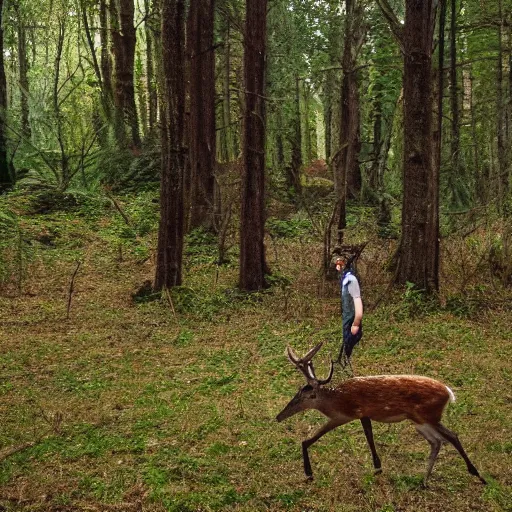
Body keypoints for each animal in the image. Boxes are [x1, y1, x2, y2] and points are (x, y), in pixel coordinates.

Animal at [276, 342, 488, 486]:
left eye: (306, 396)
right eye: (296, 392)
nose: (279, 416)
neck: (338, 401)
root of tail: (449, 393)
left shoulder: (352, 414)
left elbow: (367, 437)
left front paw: (309, 473)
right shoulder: (357, 415)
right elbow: (309, 440)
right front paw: (378, 467)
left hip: (429, 415)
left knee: (452, 436)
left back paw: (477, 474)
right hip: (419, 421)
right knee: (436, 441)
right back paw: (424, 480)